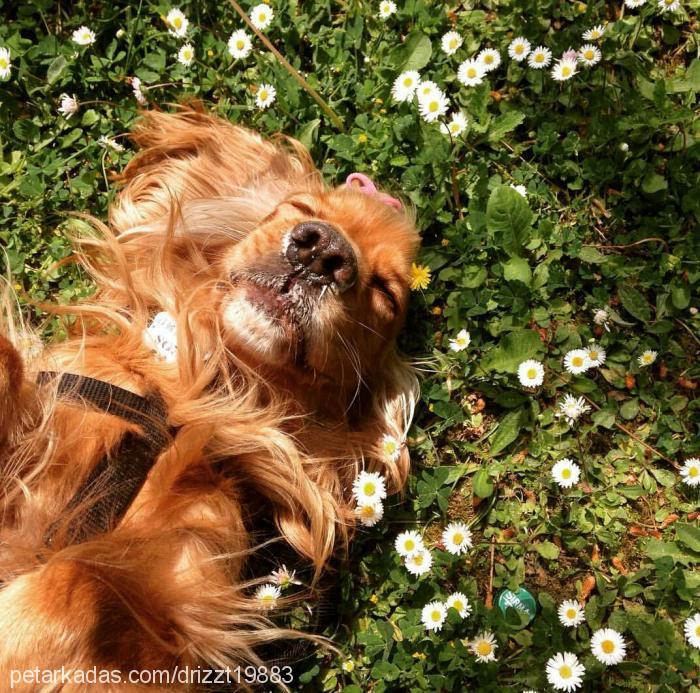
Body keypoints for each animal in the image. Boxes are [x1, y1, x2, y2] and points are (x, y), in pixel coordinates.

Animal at [0, 105, 418, 688]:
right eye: (300, 209)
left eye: (385, 292)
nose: (322, 252)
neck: (200, 387)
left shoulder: (187, 598)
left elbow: (78, 583)